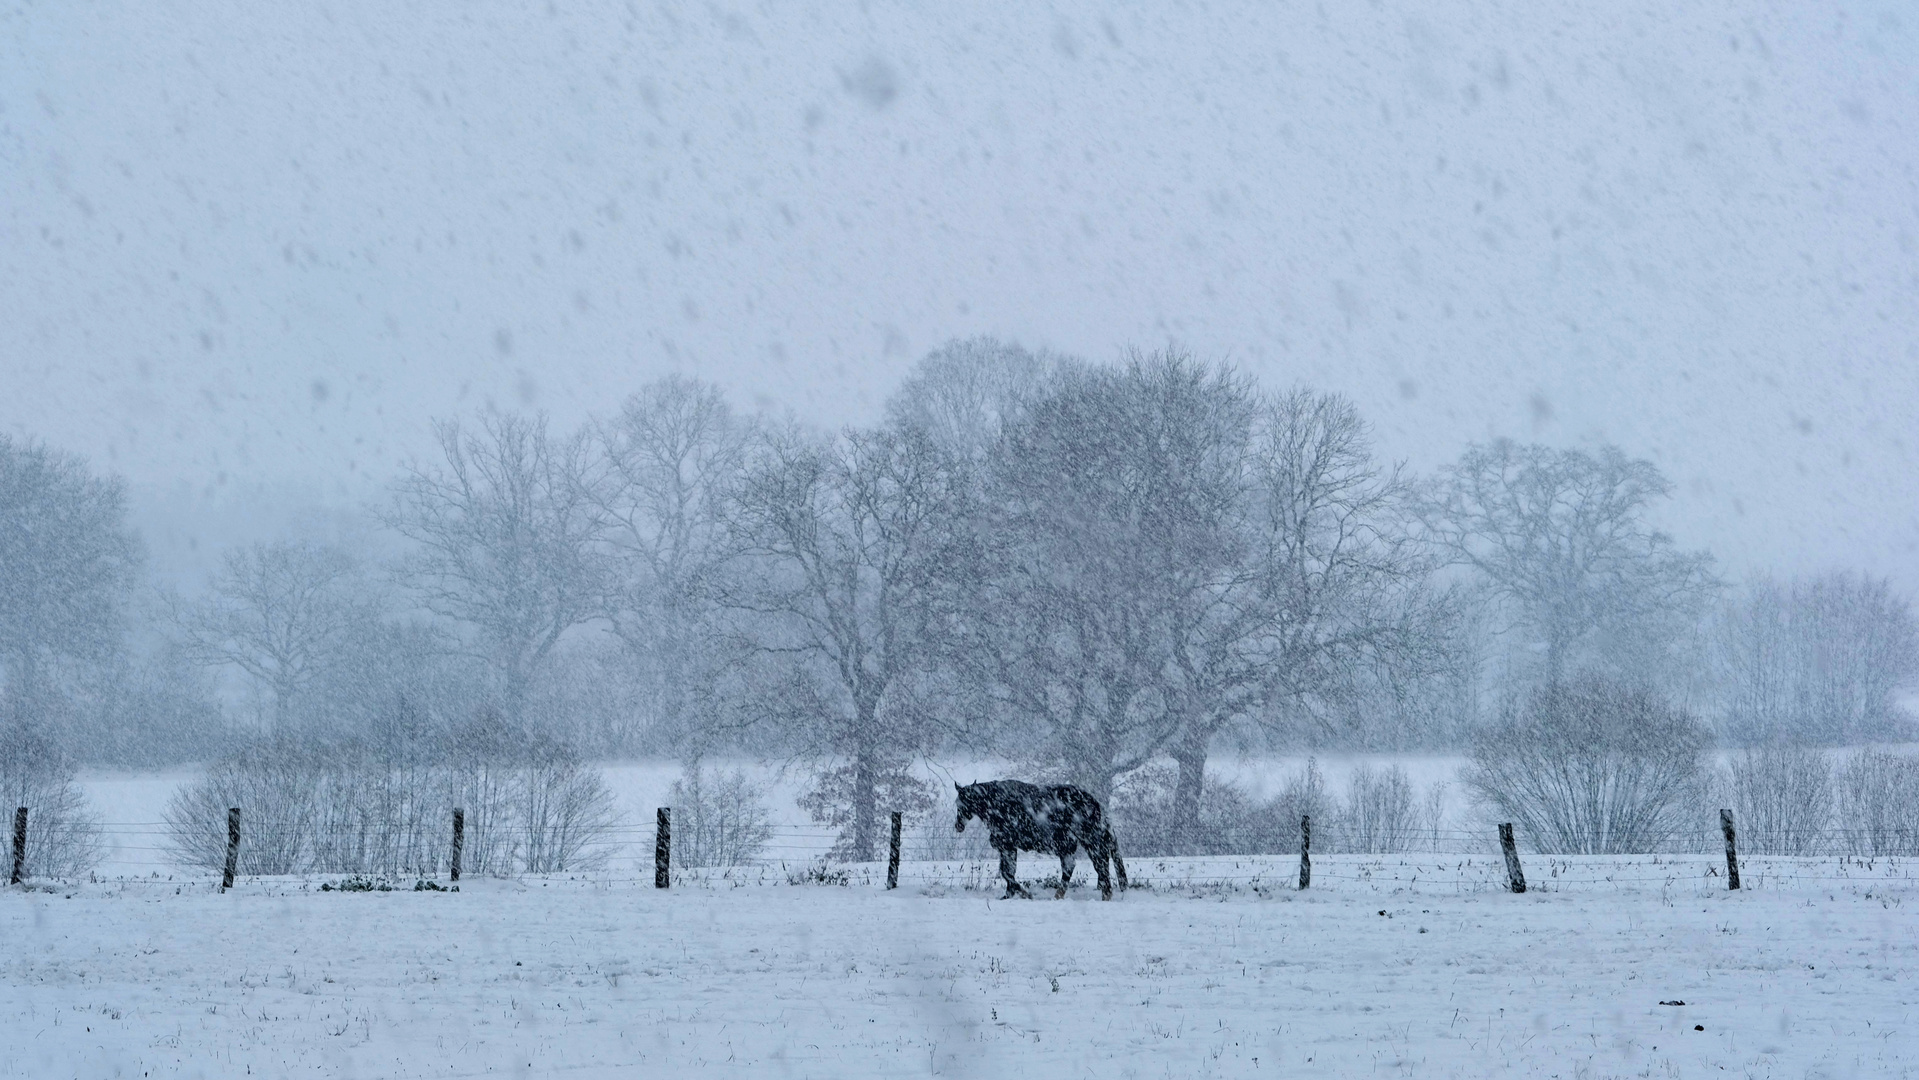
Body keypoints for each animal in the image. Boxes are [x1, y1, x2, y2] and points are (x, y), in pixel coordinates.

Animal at [955, 782, 1120, 901]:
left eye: (961, 803)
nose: (958, 826)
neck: (997, 805)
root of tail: (1093, 802)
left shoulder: (1007, 845)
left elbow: (1007, 873)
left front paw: (1024, 894)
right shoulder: (1008, 848)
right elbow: (1008, 871)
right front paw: (1009, 895)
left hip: (1088, 841)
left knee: (1099, 865)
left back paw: (1104, 895)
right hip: (1073, 845)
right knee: (1078, 867)